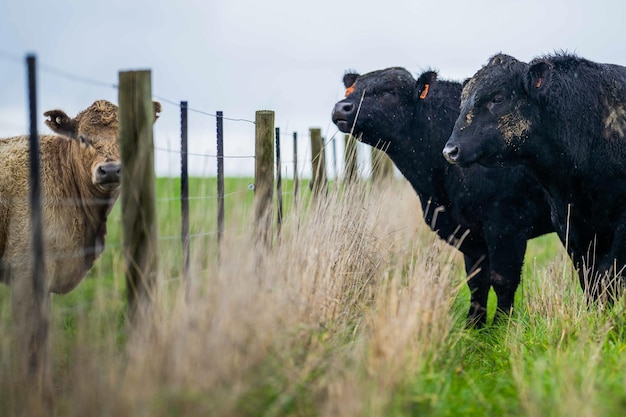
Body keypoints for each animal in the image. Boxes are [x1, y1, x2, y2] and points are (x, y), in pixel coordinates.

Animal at [332, 67, 552, 324]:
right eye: (351, 89)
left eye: (388, 92)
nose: (341, 107)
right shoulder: (469, 232)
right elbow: (477, 281)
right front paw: (474, 326)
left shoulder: (507, 224)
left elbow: (503, 280)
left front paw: (502, 326)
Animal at [444, 53, 626, 302]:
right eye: (463, 101)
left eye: (497, 98)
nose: (450, 150)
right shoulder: (569, 227)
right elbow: (590, 280)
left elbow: (608, 275)